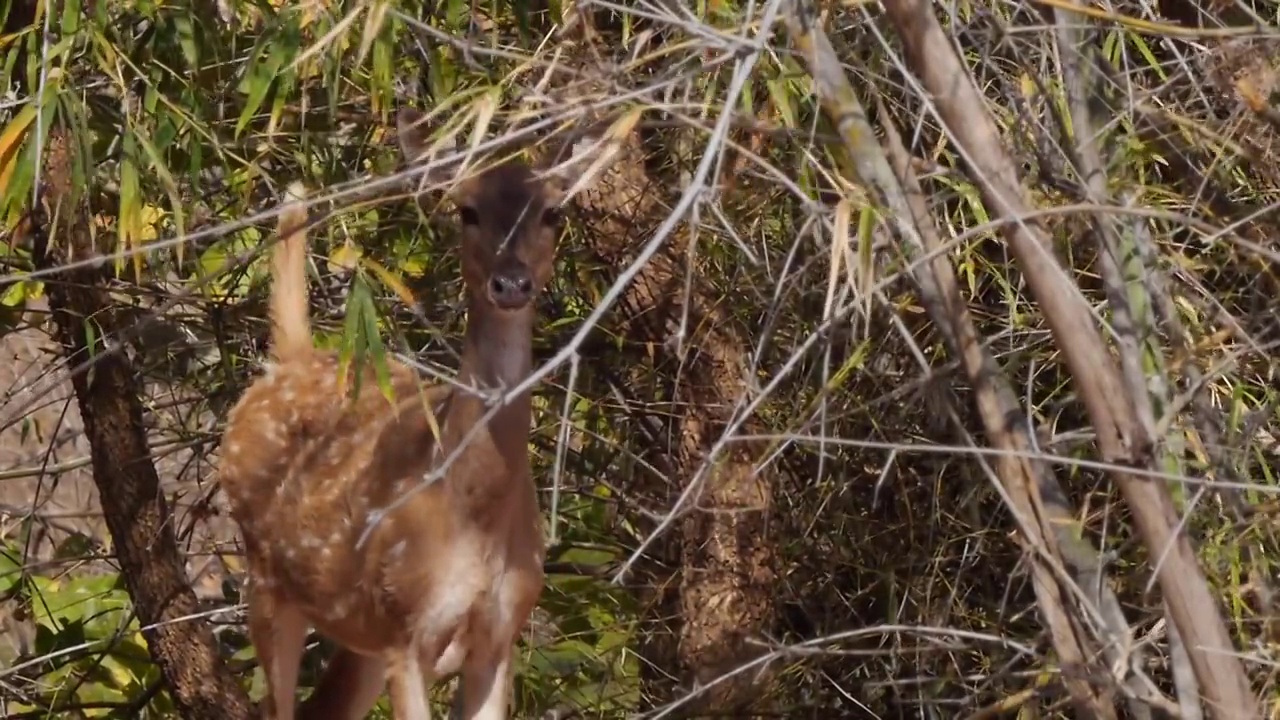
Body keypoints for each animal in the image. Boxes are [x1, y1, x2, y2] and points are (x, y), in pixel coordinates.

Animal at [218, 107, 614, 717]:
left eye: (553, 212)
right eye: (466, 209)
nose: (511, 283)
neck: (473, 512)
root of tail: (291, 358)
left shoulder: (499, 633)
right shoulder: (406, 631)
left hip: (359, 635)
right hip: (267, 584)